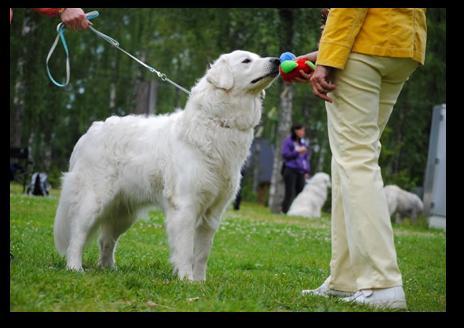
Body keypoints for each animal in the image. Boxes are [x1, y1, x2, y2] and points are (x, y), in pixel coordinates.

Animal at [54, 50, 280, 280]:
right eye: (246, 61)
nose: (277, 61)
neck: (219, 122)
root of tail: (89, 132)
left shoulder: (212, 214)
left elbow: (202, 254)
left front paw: (200, 282)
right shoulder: (186, 206)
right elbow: (186, 250)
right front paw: (186, 280)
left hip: (124, 212)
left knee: (106, 240)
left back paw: (109, 269)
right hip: (93, 200)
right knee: (77, 234)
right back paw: (75, 267)